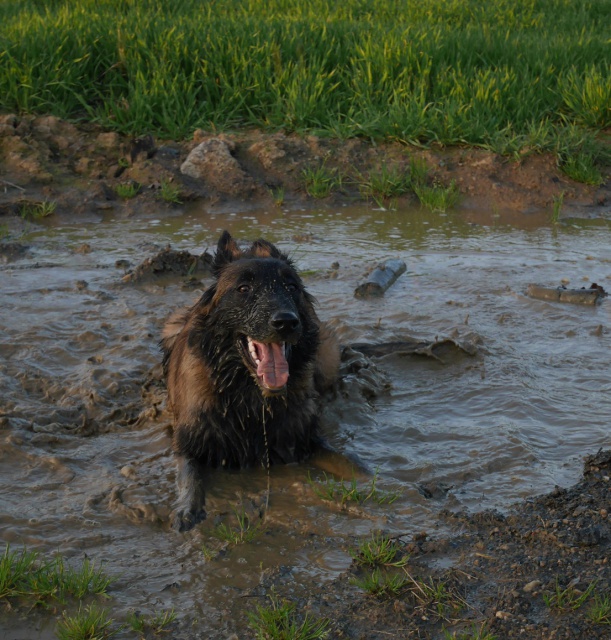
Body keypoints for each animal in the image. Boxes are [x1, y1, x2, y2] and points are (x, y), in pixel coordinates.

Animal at [161, 230, 340, 528]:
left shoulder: (304, 438)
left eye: (291, 287)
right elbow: (190, 477)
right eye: (244, 289)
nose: (286, 322)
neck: (252, 402)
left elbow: (351, 462)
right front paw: (187, 508)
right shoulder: (188, 443)